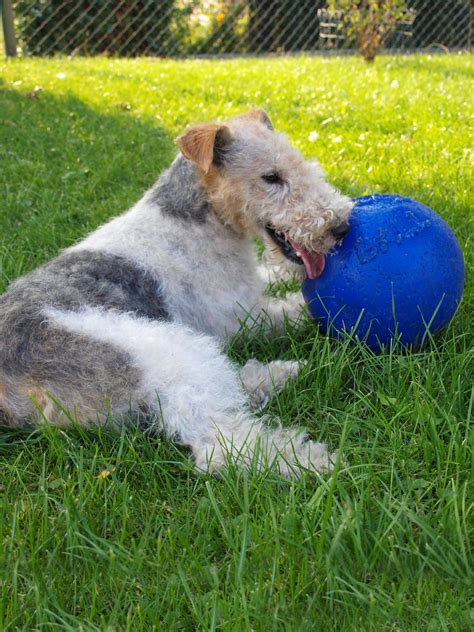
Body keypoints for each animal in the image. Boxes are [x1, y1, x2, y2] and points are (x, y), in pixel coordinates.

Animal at [0, 110, 352, 474]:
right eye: (271, 176)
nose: (341, 226)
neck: (196, 218)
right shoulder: (244, 316)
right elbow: (298, 309)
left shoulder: (251, 286)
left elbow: (275, 277)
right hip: (162, 347)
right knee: (219, 443)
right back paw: (314, 461)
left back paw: (279, 374)